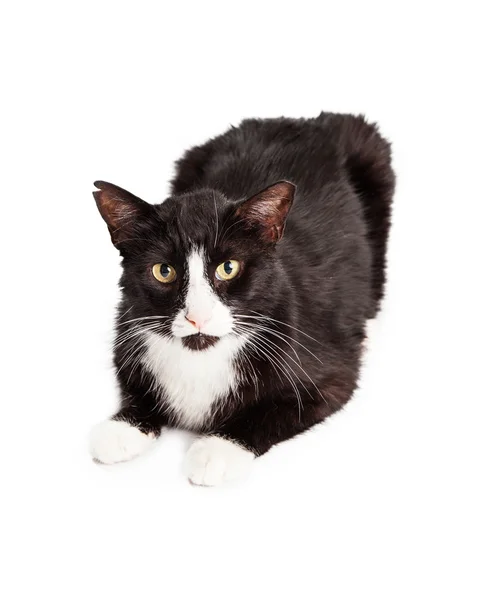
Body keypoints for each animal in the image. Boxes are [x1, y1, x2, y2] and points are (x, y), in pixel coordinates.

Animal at [89, 112, 394, 486]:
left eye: (228, 267)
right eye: (163, 271)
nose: (197, 316)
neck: (202, 359)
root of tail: (309, 120)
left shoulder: (330, 370)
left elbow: (276, 410)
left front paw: (216, 451)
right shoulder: (127, 327)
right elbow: (134, 384)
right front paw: (122, 428)